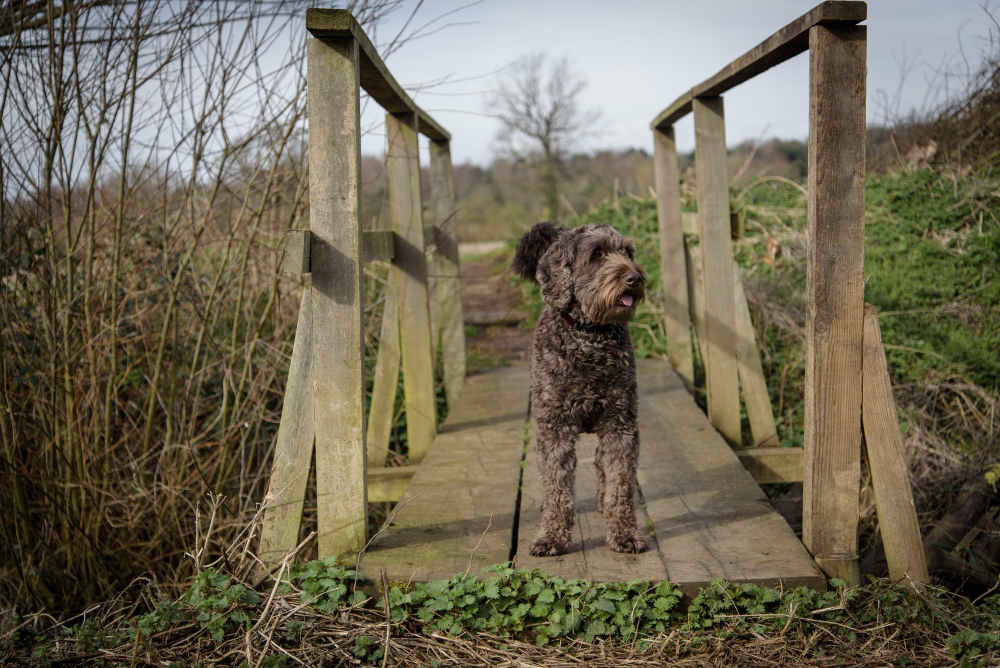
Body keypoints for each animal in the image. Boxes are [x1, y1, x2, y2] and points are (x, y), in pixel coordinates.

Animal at [516, 222, 648, 556]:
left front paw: (624, 533)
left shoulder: (620, 425)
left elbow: (620, 485)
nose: (635, 278)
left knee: (601, 465)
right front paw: (551, 536)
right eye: (596, 254)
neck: (589, 338)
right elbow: (557, 488)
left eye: (628, 252)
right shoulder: (555, 428)